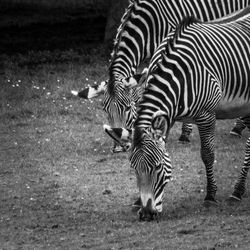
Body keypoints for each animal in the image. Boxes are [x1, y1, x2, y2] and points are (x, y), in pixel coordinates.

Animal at [72, 0, 250, 152]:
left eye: (128, 107)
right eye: (105, 109)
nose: (119, 148)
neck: (149, 23)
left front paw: (184, 132)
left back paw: (239, 126)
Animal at [103, 6, 250, 221]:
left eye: (157, 167)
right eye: (133, 168)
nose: (146, 214)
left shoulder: (206, 115)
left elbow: (207, 154)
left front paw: (210, 196)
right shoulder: (166, 115)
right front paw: (137, 201)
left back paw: (237, 190)